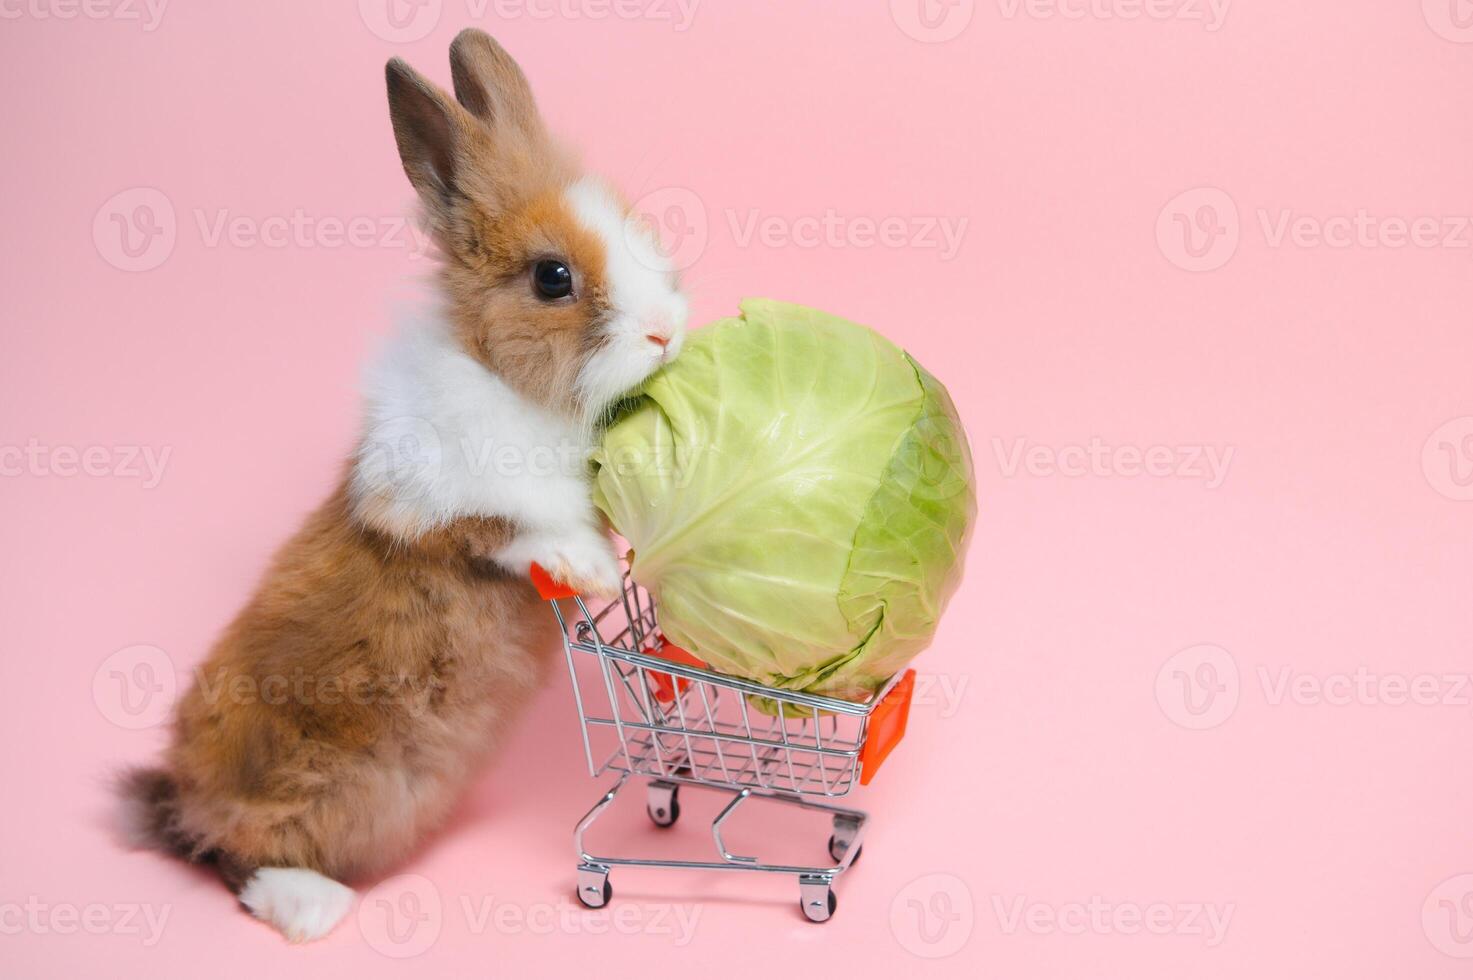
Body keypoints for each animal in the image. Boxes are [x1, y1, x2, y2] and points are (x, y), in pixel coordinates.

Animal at [116, 30, 689, 943]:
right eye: (552, 278)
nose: (666, 331)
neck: (516, 389)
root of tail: (175, 797)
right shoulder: (429, 505)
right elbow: (512, 529)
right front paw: (595, 570)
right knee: (228, 856)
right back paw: (308, 907)